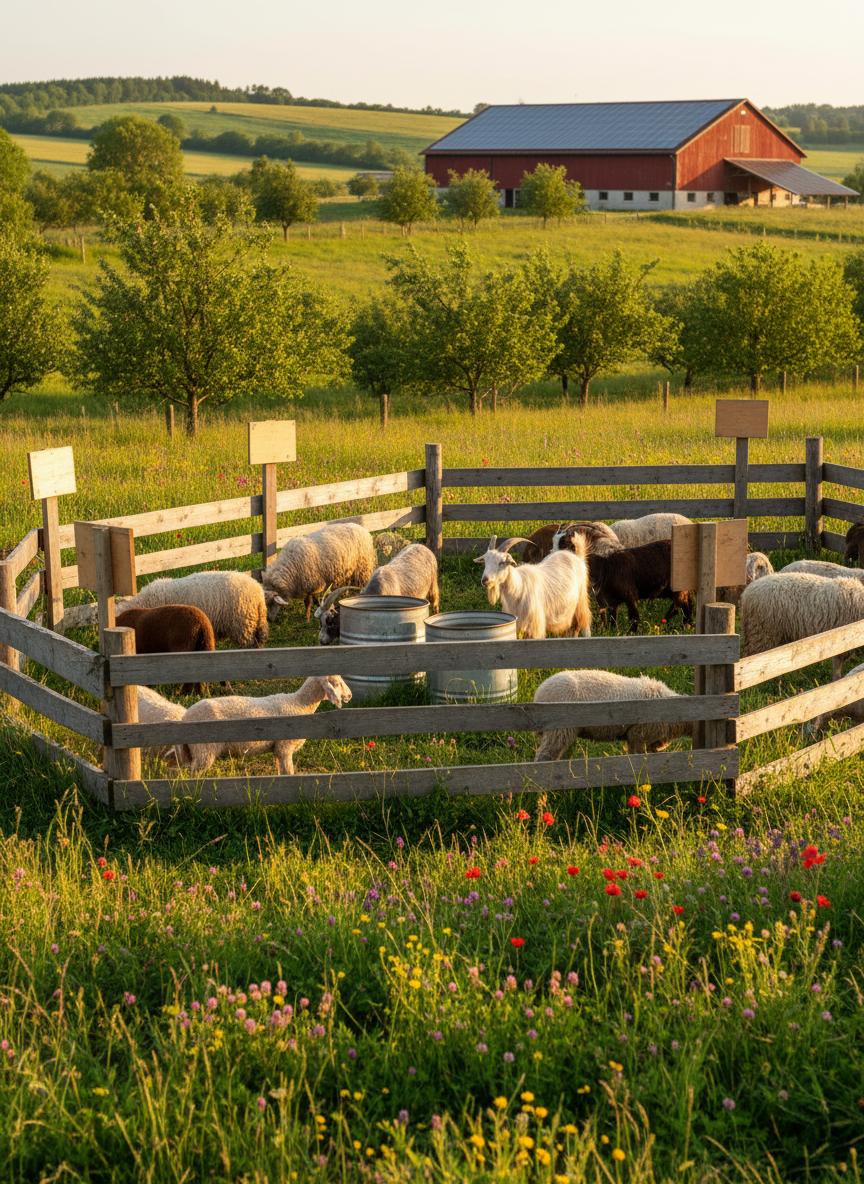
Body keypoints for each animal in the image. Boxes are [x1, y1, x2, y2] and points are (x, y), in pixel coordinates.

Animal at [164, 675, 352, 776]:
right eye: (336, 683)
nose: (350, 695)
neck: (300, 703)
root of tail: (186, 717)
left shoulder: (278, 749)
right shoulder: (285, 746)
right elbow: (289, 773)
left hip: (190, 750)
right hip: (203, 750)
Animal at [554, 529, 691, 630]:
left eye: (565, 545)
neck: (604, 566)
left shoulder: (630, 594)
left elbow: (634, 617)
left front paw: (632, 633)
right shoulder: (612, 599)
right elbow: (612, 618)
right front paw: (613, 630)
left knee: (682, 605)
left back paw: (675, 624)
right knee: (687, 604)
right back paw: (680, 624)